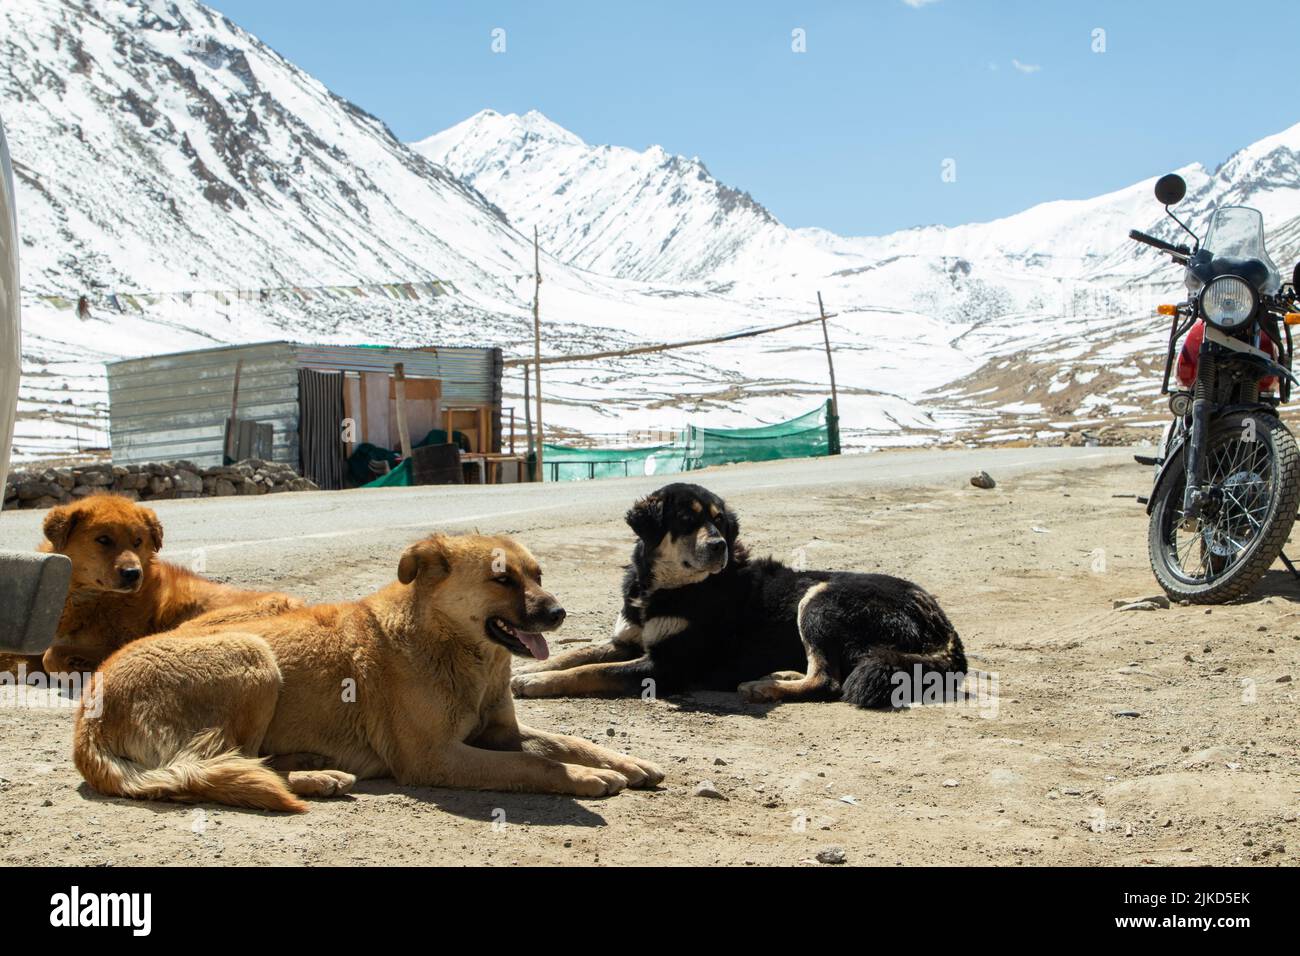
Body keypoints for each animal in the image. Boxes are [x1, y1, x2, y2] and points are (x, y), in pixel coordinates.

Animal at [32, 494, 299, 681]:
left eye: (138, 541)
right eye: (103, 539)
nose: (133, 574)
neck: (90, 600)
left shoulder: (113, 642)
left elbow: (51, 655)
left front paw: (76, 666)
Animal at [73, 535, 660, 811]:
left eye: (538, 574)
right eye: (501, 578)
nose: (559, 613)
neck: (450, 643)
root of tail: (86, 716)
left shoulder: (499, 733)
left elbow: (565, 741)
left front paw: (623, 762)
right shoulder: (436, 758)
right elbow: (535, 765)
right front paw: (584, 779)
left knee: (227, 764)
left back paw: (314, 770)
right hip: (253, 655)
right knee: (204, 768)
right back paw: (313, 776)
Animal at [506, 481, 967, 707]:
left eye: (719, 522)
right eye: (685, 518)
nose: (718, 546)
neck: (668, 587)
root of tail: (945, 628)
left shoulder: (666, 666)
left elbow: (589, 671)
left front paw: (535, 684)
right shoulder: (627, 641)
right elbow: (576, 654)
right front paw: (532, 671)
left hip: (819, 599)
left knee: (828, 680)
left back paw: (766, 688)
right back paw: (777, 675)